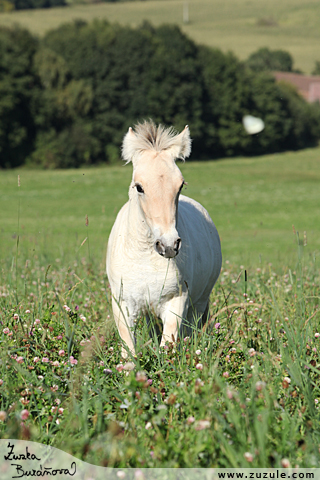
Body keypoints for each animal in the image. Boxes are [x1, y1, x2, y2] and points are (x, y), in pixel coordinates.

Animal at [106, 122, 221, 358]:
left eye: (180, 185)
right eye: (139, 187)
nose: (168, 246)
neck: (144, 258)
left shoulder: (177, 301)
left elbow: (169, 345)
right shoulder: (123, 304)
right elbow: (128, 351)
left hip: (199, 303)